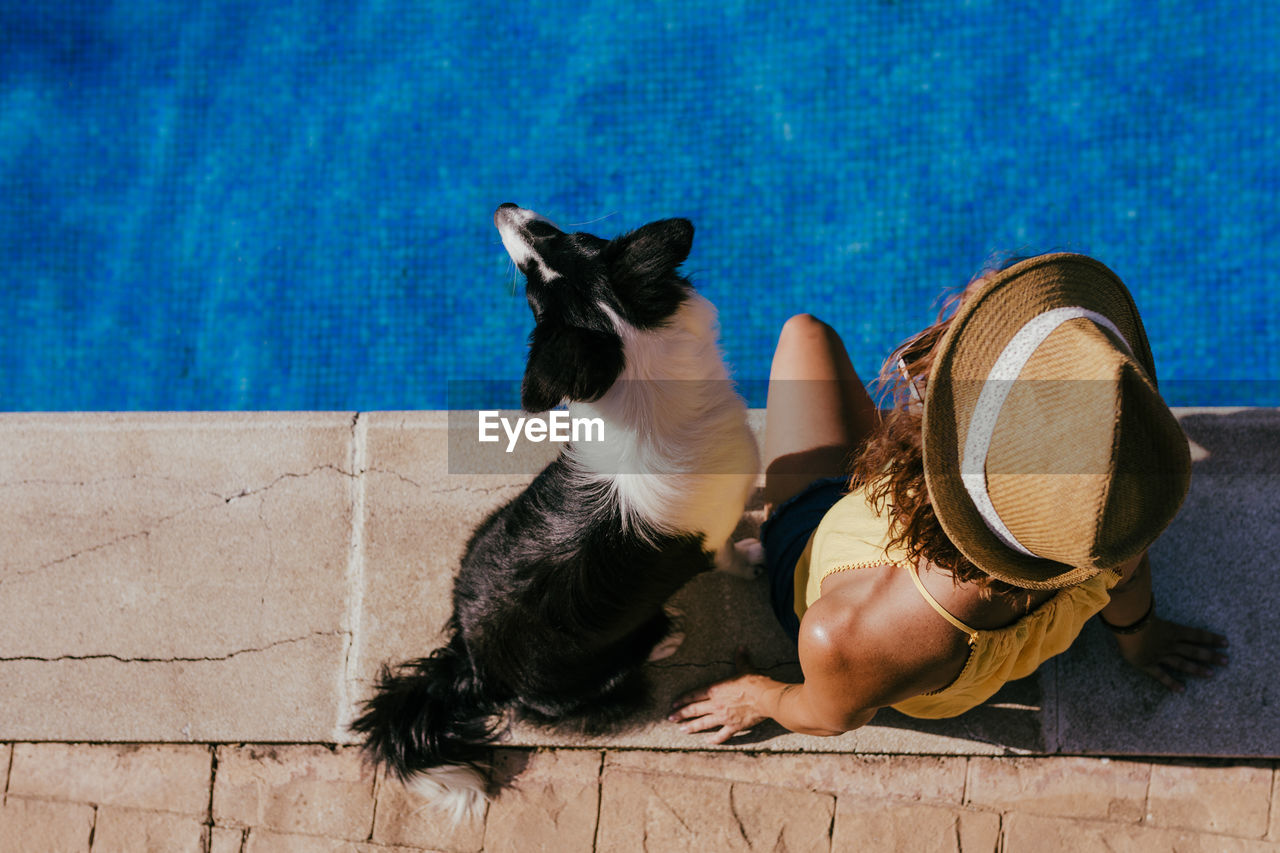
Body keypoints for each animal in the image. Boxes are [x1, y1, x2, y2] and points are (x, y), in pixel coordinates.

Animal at [350, 204, 757, 819]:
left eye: (569, 237)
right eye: (533, 294)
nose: (504, 209)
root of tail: (472, 667)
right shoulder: (715, 533)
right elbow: (734, 552)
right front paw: (756, 554)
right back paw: (665, 637)